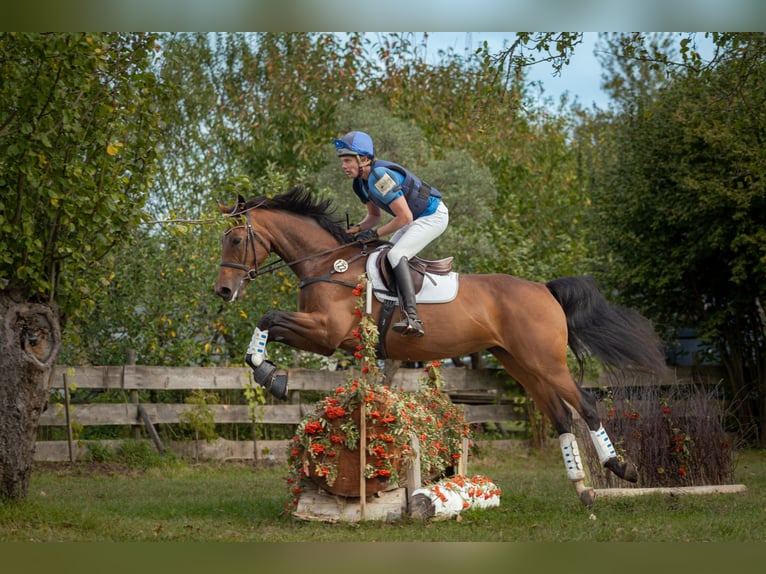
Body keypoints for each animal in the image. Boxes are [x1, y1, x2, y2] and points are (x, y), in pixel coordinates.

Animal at [214, 186, 667, 506]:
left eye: (234, 241)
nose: (223, 291)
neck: (328, 264)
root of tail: (544, 288)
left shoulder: (326, 334)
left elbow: (267, 318)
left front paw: (269, 374)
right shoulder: (324, 336)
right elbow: (268, 324)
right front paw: (269, 372)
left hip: (546, 361)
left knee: (585, 405)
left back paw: (620, 468)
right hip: (519, 362)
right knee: (558, 415)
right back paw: (582, 489)